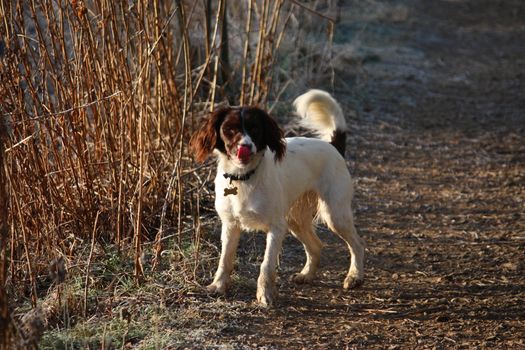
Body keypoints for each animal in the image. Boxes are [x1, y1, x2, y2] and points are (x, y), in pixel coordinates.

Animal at [189, 90, 364, 306]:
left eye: (255, 129)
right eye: (229, 129)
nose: (245, 146)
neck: (244, 177)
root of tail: (332, 146)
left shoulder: (276, 227)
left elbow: (266, 265)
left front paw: (265, 295)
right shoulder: (230, 225)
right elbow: (225, 260)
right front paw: (218, 286)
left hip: (335, 214)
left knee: (357, 244)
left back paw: (355, 276)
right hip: (295, 219)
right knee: (316, 245)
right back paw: (307, 275)